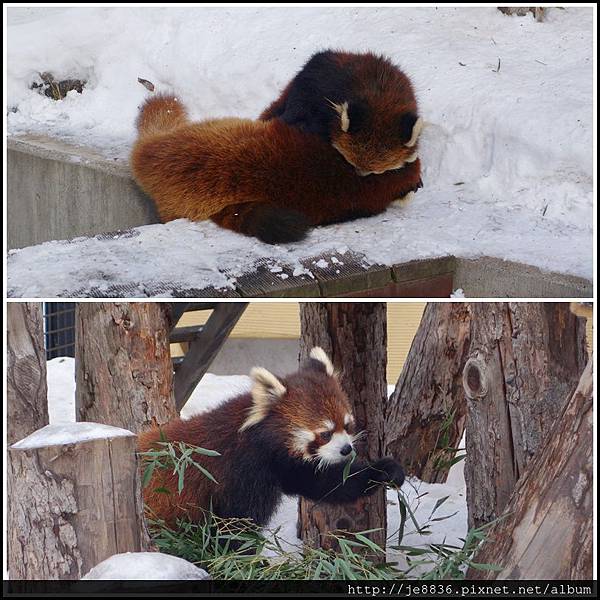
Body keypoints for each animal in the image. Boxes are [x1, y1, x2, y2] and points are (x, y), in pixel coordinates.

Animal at [138, 350, 406, 528]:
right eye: (325, 434)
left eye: (347, 425)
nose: (346, 449)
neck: (262, 442)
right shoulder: (241, 474)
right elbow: (234, 526)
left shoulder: (285, 467)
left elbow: (327, 482)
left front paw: (386, 470)